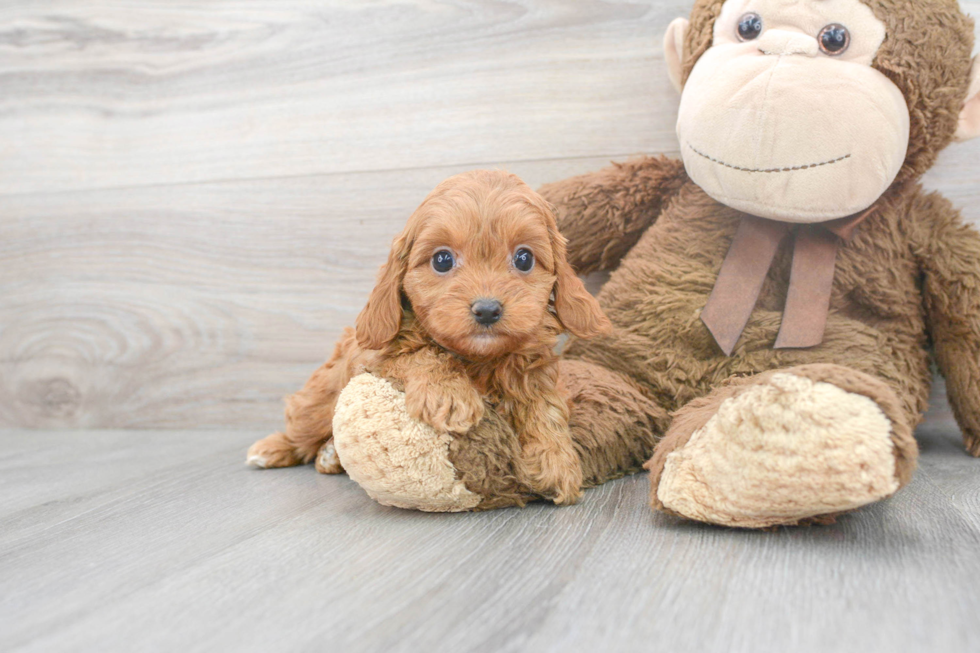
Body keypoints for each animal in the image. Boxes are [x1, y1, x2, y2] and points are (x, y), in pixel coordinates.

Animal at [249, 169, 608, 504]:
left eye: (524, 258)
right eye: (442, 260)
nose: (487, 310)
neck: (479, 361)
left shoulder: (533, 368)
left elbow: (544, 406)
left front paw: (556, 460)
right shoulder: (377, 358)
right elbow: (422, 353)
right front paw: (448, 395)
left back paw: (329, 454)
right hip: (320, 398)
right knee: (302, 423)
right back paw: (275, 449)